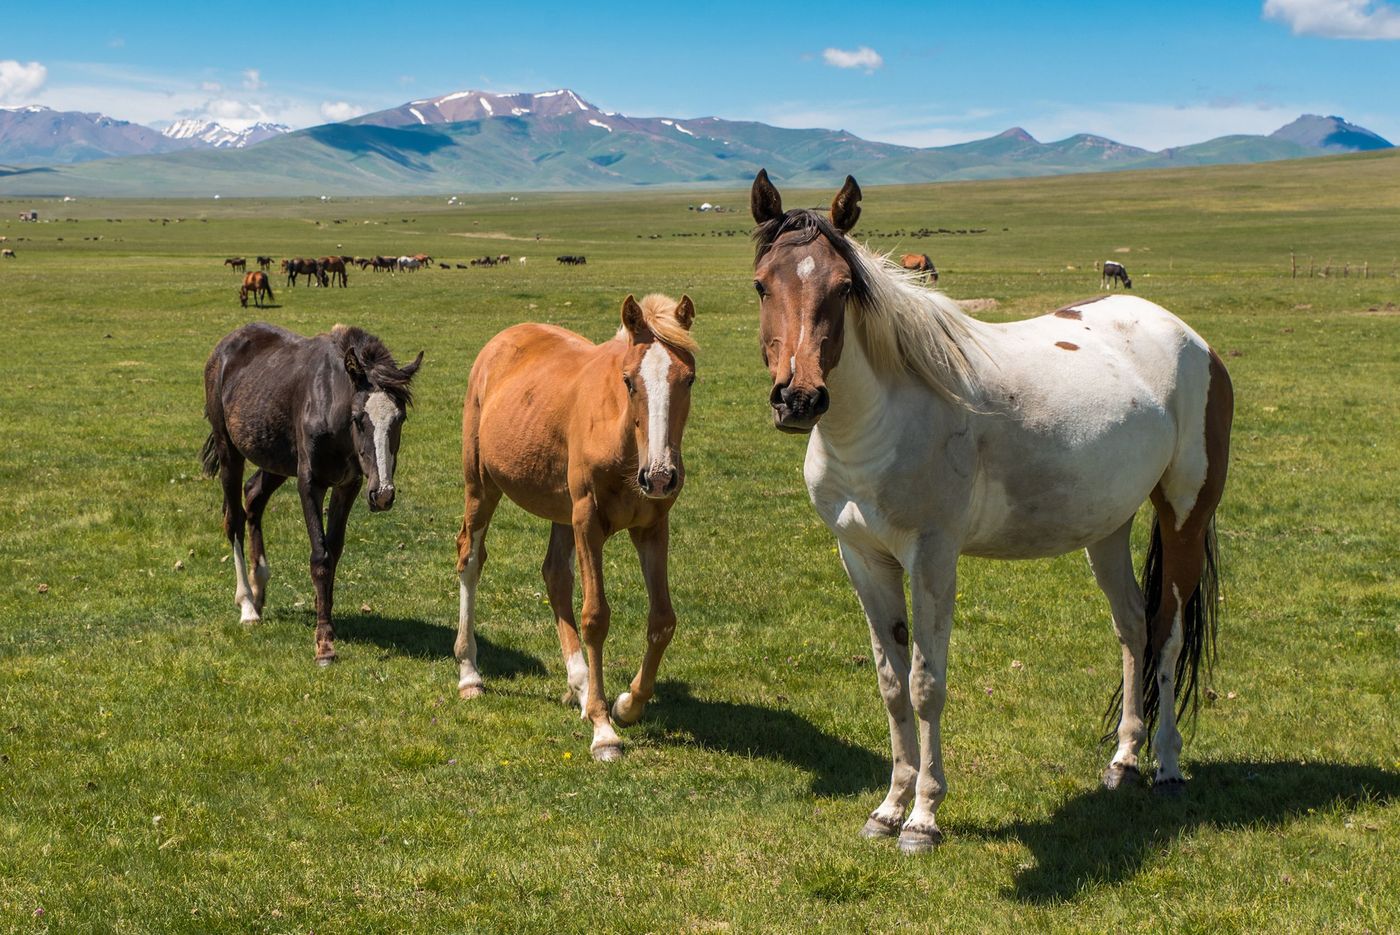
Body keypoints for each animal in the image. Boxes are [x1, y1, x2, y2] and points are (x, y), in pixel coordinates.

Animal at [201, 323, 423, 664]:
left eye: (399, 418)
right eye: (359, 419)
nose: (383, 493)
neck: (331, 404)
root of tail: (223, 348)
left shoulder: (349, 485)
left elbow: (335, 550)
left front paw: (326, 619)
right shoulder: (309, 482)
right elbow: (320, 556)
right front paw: (324, 644)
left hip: (275, 458)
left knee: (253, 496)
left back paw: (260, 586)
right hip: (230, 452)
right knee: (234, 519)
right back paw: (248, 605)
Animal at [453, 294, 698, 761]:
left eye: (689, 379)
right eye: (628, 381)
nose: (660, 476)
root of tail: (502, 339)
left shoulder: (653, 527)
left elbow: (663, 620)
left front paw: (625, 704)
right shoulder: (588, 523)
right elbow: (595, 617)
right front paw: (604, 732)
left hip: (561, 511)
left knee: (555, 576)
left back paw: (582, 687)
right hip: (482, 486)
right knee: (470, 560)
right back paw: (470, 673)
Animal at [749, 169, 1232, 853]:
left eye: (844, 288)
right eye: (762, 284)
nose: (799, 398)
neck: (881, 420)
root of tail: (1194, 340)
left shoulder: (932, 556)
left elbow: (926, 684)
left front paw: (923, 818)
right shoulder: (862, 557)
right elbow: (891, 686)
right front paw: (888, 808)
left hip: (1185, 513)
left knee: (1167, 633)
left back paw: (1166, 766)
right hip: (1108, 525)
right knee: (1134, 626)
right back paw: (1124, 761)